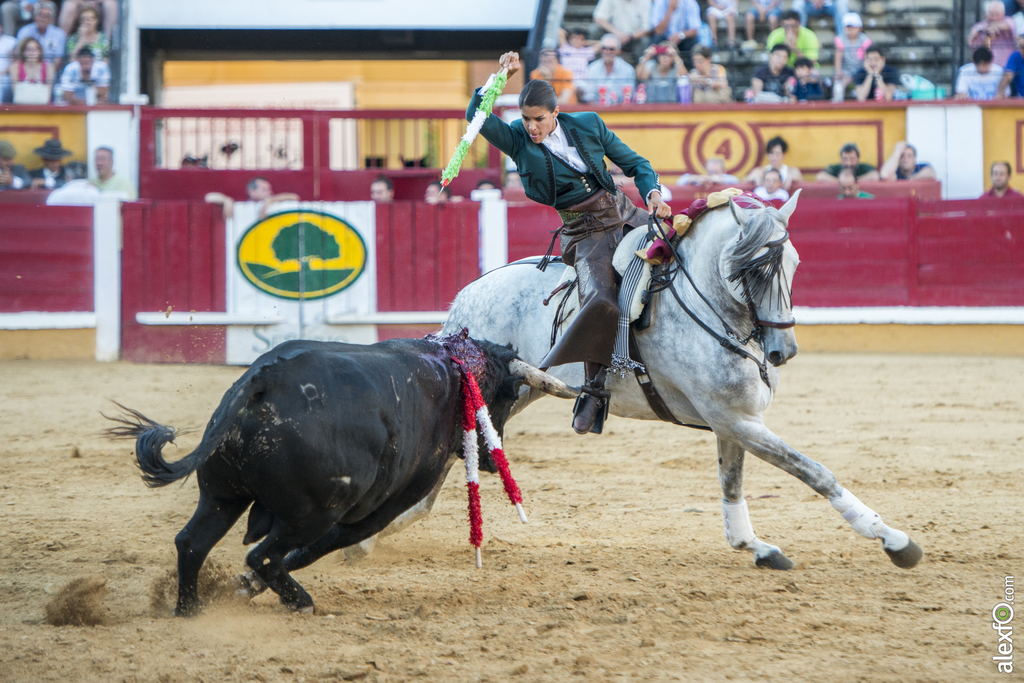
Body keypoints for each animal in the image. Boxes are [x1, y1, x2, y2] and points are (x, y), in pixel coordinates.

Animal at [113, 335, 581, 614]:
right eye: (506, 394)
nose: (489, 456)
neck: (450, 371)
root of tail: (261, 382)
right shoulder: (376, 510)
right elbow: (315, 551)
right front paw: (249, 586)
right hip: (314, 512)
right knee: (264, 554)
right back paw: (300, 602)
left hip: (221, 495)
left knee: (192, 543)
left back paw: (189, 610)